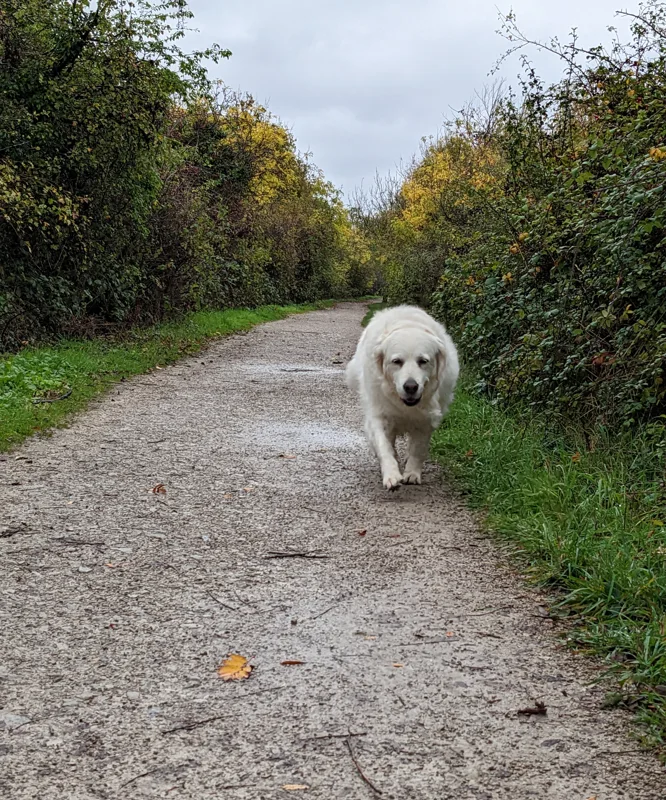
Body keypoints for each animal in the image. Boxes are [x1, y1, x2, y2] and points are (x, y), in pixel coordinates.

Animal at [342, 306, 456, 490]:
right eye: (396, 361)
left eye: (423, 361)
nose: (410, 386)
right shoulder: (379, 415)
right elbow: (384, 446)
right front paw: (392, 475)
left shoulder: (426, 420)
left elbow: (418, 448)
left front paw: (412, 473)